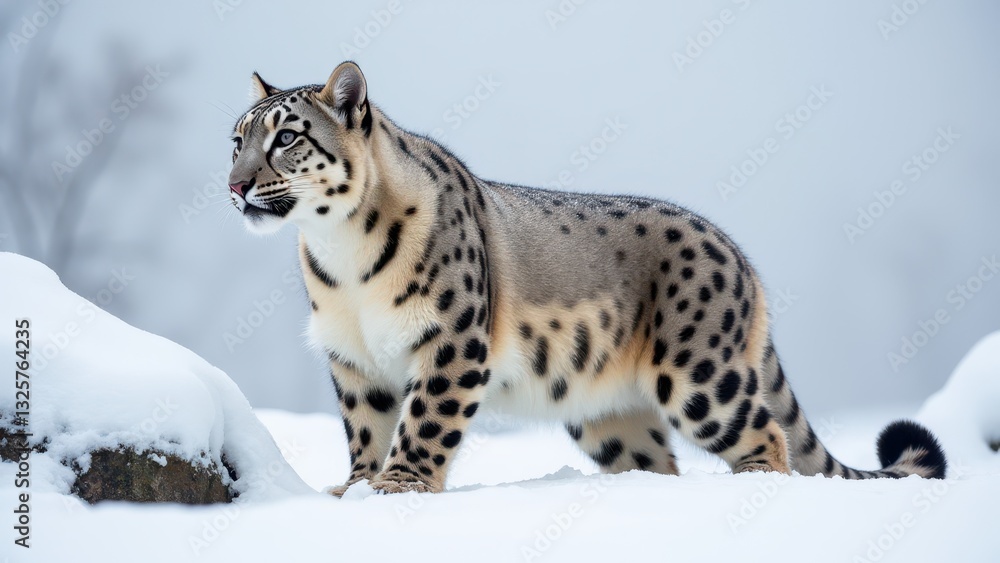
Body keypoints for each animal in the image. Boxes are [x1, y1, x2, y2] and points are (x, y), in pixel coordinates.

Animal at [226, 61, 947, 495]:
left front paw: (398, 485)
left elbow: (425, 421)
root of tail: (740, 259)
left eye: (287, 137)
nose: (234, 185)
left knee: (765, 432)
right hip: (612, 417)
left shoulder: (452, 341)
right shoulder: (353, 359)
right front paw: (354, 486)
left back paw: (750, 486)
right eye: (236, 138)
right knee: (660, 460)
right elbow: (366, 427)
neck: (341, 258)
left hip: (701, 377)